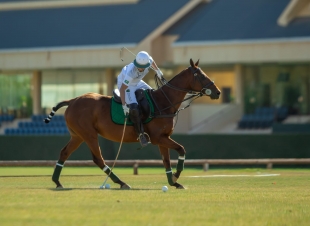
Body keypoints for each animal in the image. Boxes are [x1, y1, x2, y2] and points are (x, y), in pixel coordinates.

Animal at [45, 59, 220, 190]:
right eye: (200, 75)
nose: (217, 92)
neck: (163, 102)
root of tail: (72, 100)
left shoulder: (163, 138)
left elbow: (167, 161)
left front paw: (173, 182)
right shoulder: (158, 138)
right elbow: (181, 149)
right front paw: (176, 176)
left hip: (77, 136)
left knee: (64, 153)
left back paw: (57, 182)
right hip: (89, 134)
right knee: (98, 159)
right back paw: (121, 182)